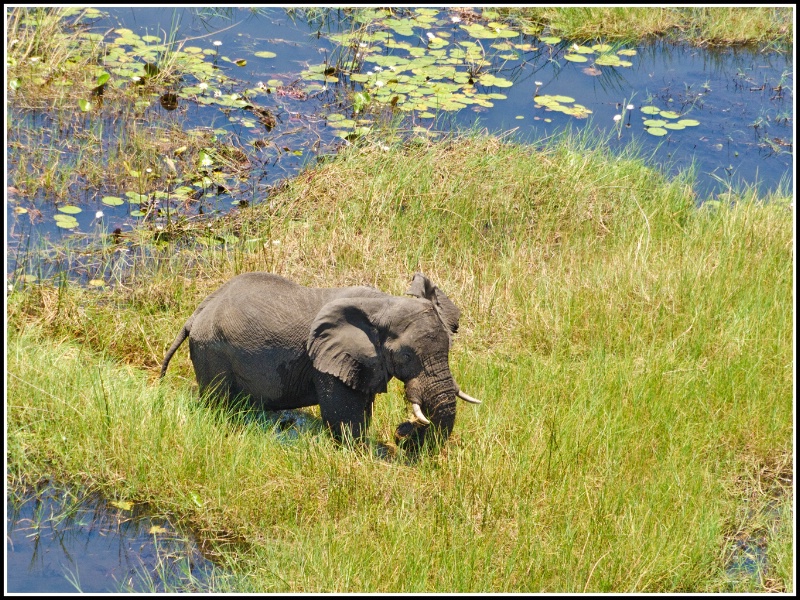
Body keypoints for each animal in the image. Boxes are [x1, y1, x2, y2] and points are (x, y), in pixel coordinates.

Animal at [159, 272, 478, 450]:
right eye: (407, 355)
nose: (404, 431)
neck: (385, 303)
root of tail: (195, 315)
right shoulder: (326, 361)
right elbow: (345, 420)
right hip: (212, 350)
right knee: (219, 403)